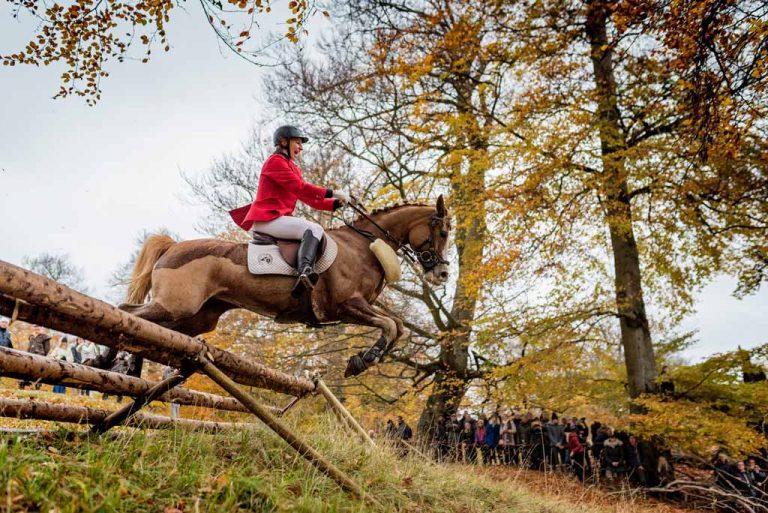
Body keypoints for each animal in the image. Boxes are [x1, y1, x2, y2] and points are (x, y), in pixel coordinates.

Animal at [120, 196, 450, 376]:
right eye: (444, 232)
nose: (443, 273)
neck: (363, 246)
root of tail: (173, 246)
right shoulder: (346, 305)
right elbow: (391, 325)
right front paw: (364, 361)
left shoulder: (359, 307)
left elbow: (397, 326)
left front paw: (362, 360)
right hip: (176, 305)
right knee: (128, 313)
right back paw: (120, 361)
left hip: (197, 317)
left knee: (156, 329)